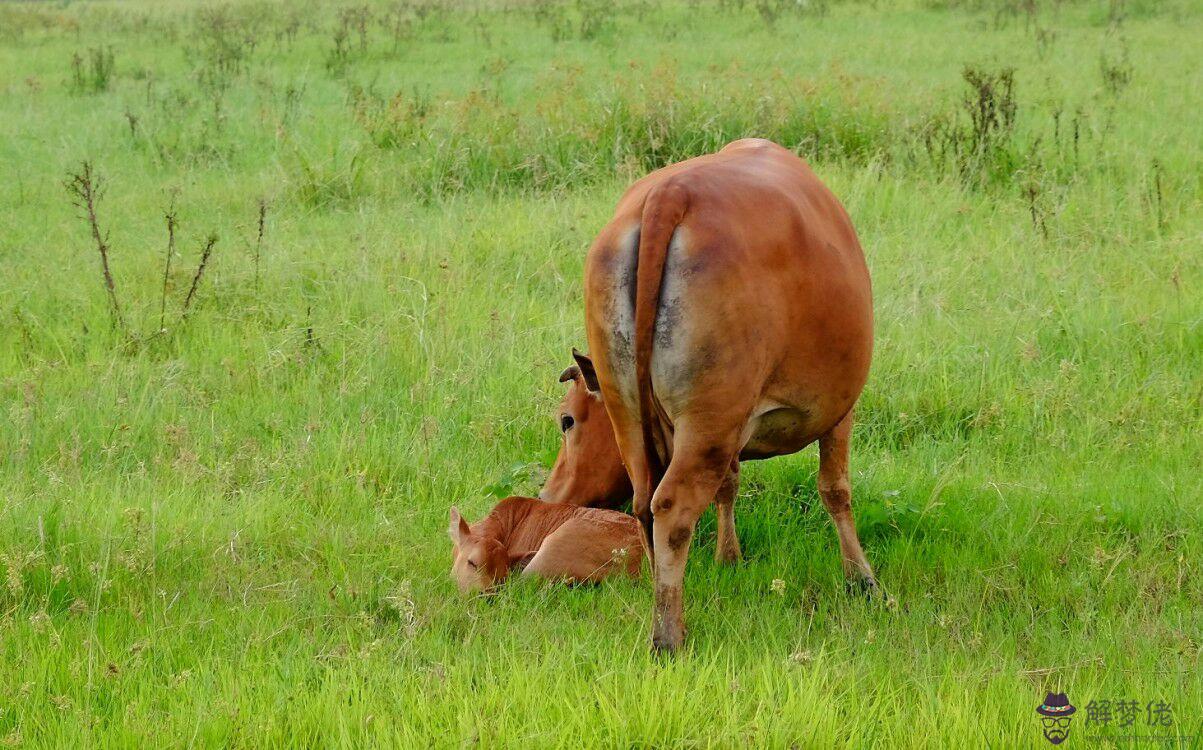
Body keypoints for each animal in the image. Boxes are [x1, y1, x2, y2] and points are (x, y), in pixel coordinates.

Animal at [543, 140, 875, 650]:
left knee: (645, 505)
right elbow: (835, 489)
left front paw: (728, 558)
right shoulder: (837, 410)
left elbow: (730, 485)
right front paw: (861, 578)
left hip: (637, 417)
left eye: (568, 420)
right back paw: (668, 637)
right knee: (671, 507)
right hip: (709, 419)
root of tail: (670, 193)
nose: (547, 495)